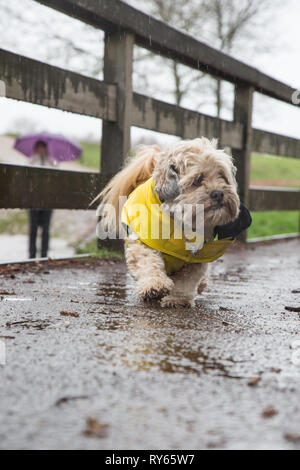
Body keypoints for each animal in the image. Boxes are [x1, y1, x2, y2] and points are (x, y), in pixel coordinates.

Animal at [97, 138, 243, 306]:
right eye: (198, 180)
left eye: (222, 176)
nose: (218, 193)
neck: (180, 222)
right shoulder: (143, 244)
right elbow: (149, 263)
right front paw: (154, 286)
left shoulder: (195, 261)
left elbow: (186, 282)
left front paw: (177, 299)